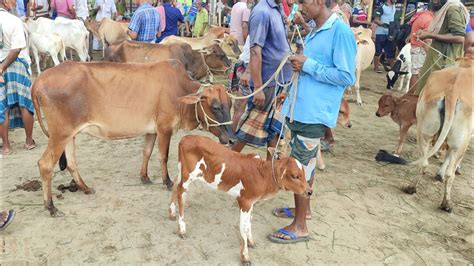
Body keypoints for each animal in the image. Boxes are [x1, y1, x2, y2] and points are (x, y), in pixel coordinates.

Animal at [31, 59, 235, 216]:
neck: (180, 89)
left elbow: (147, 152)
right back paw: (51, 207)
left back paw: (86, 188)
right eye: (215, 107)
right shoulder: (164, 128)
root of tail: (39, 80)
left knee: (71, 163)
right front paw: (167, 182)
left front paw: (144, 177)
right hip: (60, 134)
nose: (232, 139)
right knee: (45, 165)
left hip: (69, 135)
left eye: (230, 104)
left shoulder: (152, 131)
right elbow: (163, 156)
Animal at [168, 136, 312, 264]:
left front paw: (251, 242)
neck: (263, 175)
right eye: (295, 176)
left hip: (182, 172)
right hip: (188, 175)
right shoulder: (245, 201)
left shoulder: (252, 202)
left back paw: (171, 213)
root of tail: (185, 138)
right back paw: (182, 229)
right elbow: (243, 228)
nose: (309, 191)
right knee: (181, 195)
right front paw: (245, 257)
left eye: (304, 174)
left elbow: (248, 224)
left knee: (175, 183)